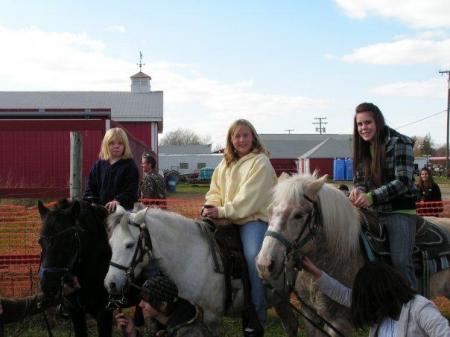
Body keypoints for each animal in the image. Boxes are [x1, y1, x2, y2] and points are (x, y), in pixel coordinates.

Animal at [103, 205, 298, 336]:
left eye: (129, 245)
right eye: (110, 243)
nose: (110, 283)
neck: (191, 258)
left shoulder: (212, 317)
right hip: (281, 299)